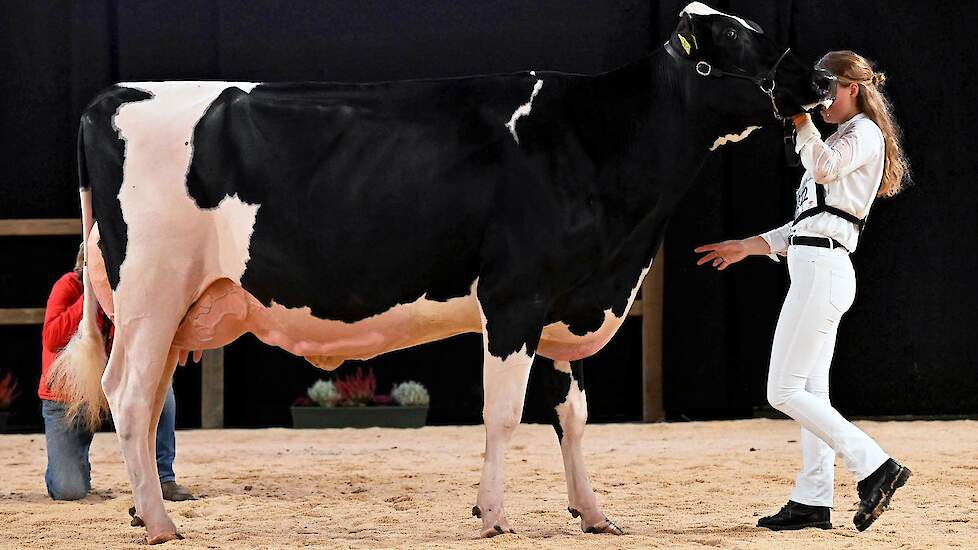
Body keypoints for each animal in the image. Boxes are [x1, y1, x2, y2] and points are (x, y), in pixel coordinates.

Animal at [51, 1, 832, 544]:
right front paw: (492, 515)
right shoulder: (515, 299)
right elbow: (504, 414)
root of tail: (113, 96)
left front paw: (593, 513)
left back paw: (144, 512)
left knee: (148, 400)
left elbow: (573, 418)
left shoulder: (566, 300)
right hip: (152, 295)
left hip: (174, 310)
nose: (821, 76)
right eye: (736, 39)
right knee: (127, 396)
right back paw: (159, 524)